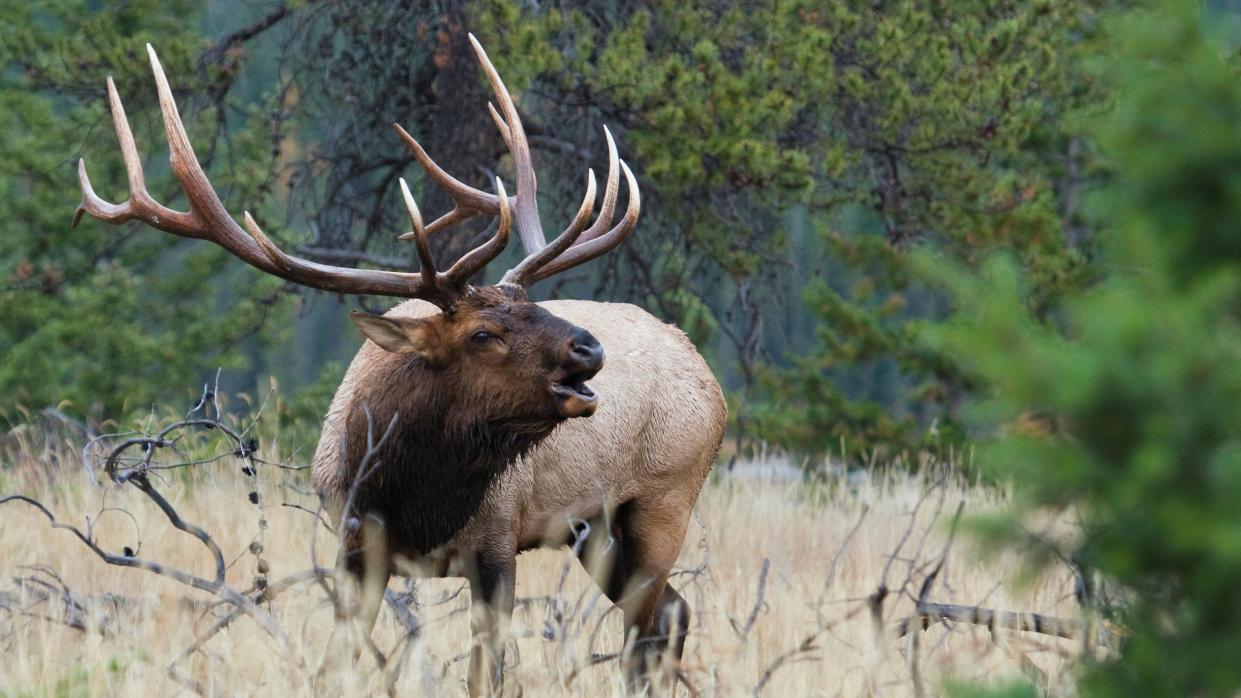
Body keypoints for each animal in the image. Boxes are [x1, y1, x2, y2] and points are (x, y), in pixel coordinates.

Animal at [75, 36, 724, 690]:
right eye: (483, 333)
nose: (589, 348)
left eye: (535, 305)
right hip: (594, 529)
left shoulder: (498, 543)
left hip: (663, 501)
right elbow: (339, 663)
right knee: (671, 613)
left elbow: (485, 675)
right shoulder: (356, 545)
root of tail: (702, 367)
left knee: (653, 621)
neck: (414, 495)